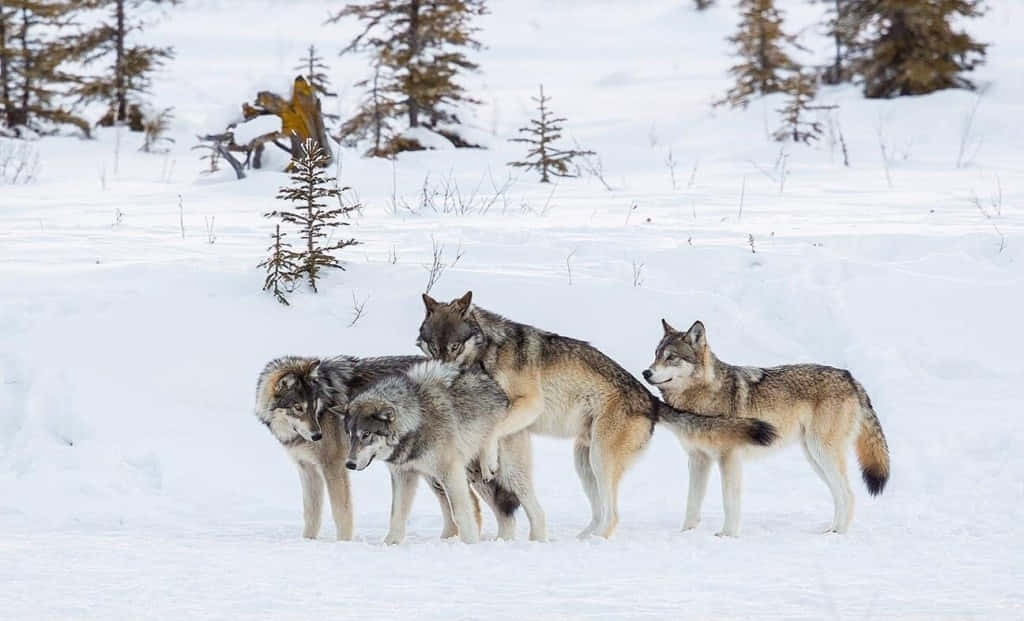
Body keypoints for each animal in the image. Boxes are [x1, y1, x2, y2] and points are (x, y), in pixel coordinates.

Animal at [254, 355, 518, 541]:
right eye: (298, 408)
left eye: (315, 405)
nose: (317, 435)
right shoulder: (307, 469)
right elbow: (311, 514)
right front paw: (308, 542)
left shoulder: (333, 468)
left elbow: (341, 513)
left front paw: (343, 543)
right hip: (428, 472)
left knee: (483, 504)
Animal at [345, 360, 546, 544]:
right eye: (350, 435)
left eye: (366, 434)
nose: (349, 464)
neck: (418, 418)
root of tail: (506, 397)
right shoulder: (403, 474)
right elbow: (396, 514)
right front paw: (390, 544)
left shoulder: (450, 472)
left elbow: (461, 513)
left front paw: (470, 543)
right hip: (473, 480)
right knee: (506, 516)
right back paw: (502, 542)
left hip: (507, 475)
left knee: (536, 510)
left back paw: (537, 540)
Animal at [416, 292, 777, 538]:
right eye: (432, 347)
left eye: (454, 347)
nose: (439, 374)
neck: (489, 351)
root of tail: (650, 398)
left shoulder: (528, 405)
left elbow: (494, 432)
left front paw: (489, 461)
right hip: (584, 461)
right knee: (600, 512)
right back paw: (582, 539)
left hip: (600, 459)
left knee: (613, 515)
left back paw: (597, 542)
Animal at [643, 319, 891, 536]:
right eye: (656, 355)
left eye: (671, 357)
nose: (646, 372)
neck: (703, 396)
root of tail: (850, 377)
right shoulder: (698, 459)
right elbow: (692, 502)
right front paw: (686, 533)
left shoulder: (729, 458)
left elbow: (729, 501)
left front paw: (727, 535)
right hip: (814, 457)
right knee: (839, 495)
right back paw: (831, 531)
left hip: (823, 453)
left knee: (848, 494)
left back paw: (838, 534)